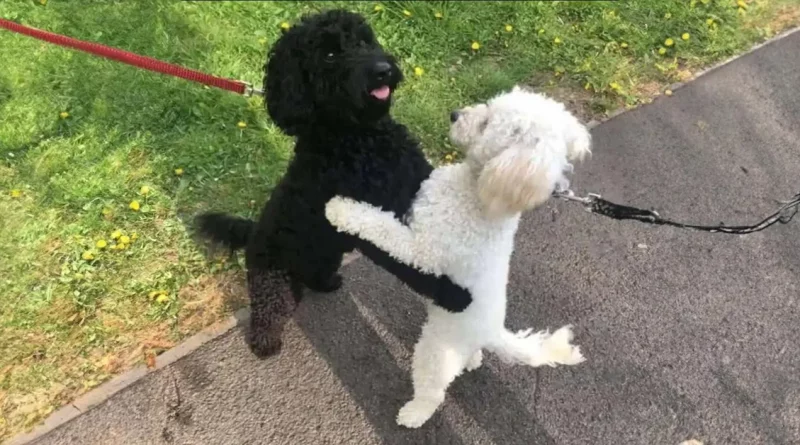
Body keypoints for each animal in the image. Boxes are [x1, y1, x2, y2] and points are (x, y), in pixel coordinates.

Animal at [195, 9, 468, 358]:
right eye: (329, 54)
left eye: (364, 40)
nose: (382, 71)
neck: (358, 136)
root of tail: (253, 230)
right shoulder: (372, 224)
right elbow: (410, 263)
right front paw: (454, 295)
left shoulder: (416, 182)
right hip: (270, 278)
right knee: (269, 309)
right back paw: (265, 342)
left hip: (325, 256)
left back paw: (326, 284)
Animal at [322, 85, 592, 428]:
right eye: (488, 105)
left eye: (487, 124)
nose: (454, 114)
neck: (478, 194)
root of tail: (493, 332)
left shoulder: (422, 250)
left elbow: (381, 225)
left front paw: (340, 210)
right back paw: (472, 361)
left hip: (436, 349)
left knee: (433, 390)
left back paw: (414, 414)